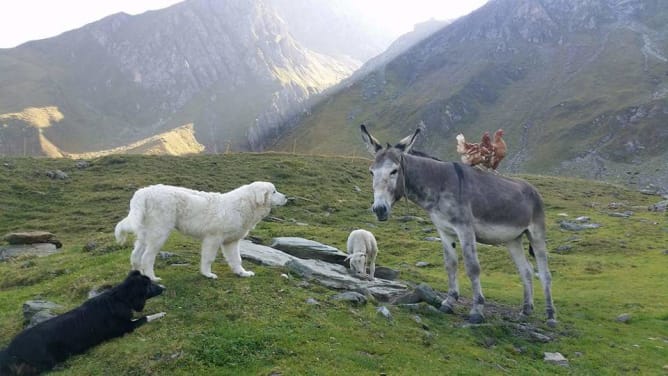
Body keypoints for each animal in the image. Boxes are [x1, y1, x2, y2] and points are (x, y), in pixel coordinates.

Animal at [0, 272, 166, 374]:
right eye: (149, 285)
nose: (164, 288)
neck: (119, 299)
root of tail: (10, 349)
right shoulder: (124, 328)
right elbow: (145, 317)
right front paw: (161, 313)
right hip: (45, 358)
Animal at [115, 181, 288, 280]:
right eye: (274, 191)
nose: (287, 197)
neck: (245, 205)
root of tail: (144, 191)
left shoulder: (231, 242)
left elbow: (236, 259)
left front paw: (242, 273)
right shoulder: (213, 239)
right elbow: (208, 258)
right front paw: (207, 274)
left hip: (146, 233)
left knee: (135, 255)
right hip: (159, 233)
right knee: (147, 257)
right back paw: (152, 277)